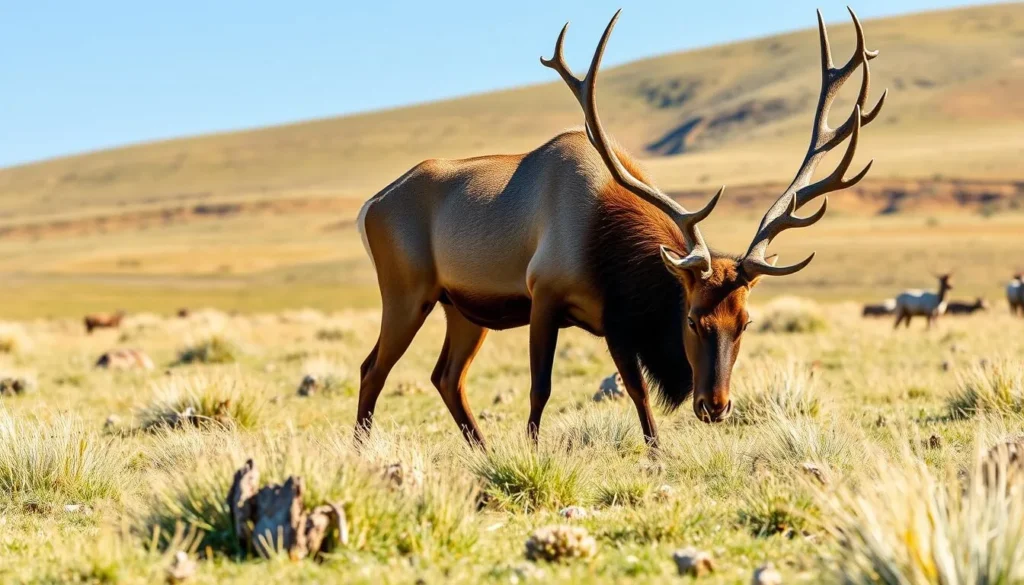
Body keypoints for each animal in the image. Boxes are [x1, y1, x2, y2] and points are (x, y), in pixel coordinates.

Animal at [354, 8, 885, 449]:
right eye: (692, 318)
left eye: (746, 322)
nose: (715, 406)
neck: (606, 242)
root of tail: (369, 207)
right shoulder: (545, 295)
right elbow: (541, 388)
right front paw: (530, 454)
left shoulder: (616, 320)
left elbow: (637, 392)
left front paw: (657, 456)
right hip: (406, 293)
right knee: (373, 368)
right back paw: (363, 452)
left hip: (464, 309)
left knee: (446, 377)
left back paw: (480, 449)